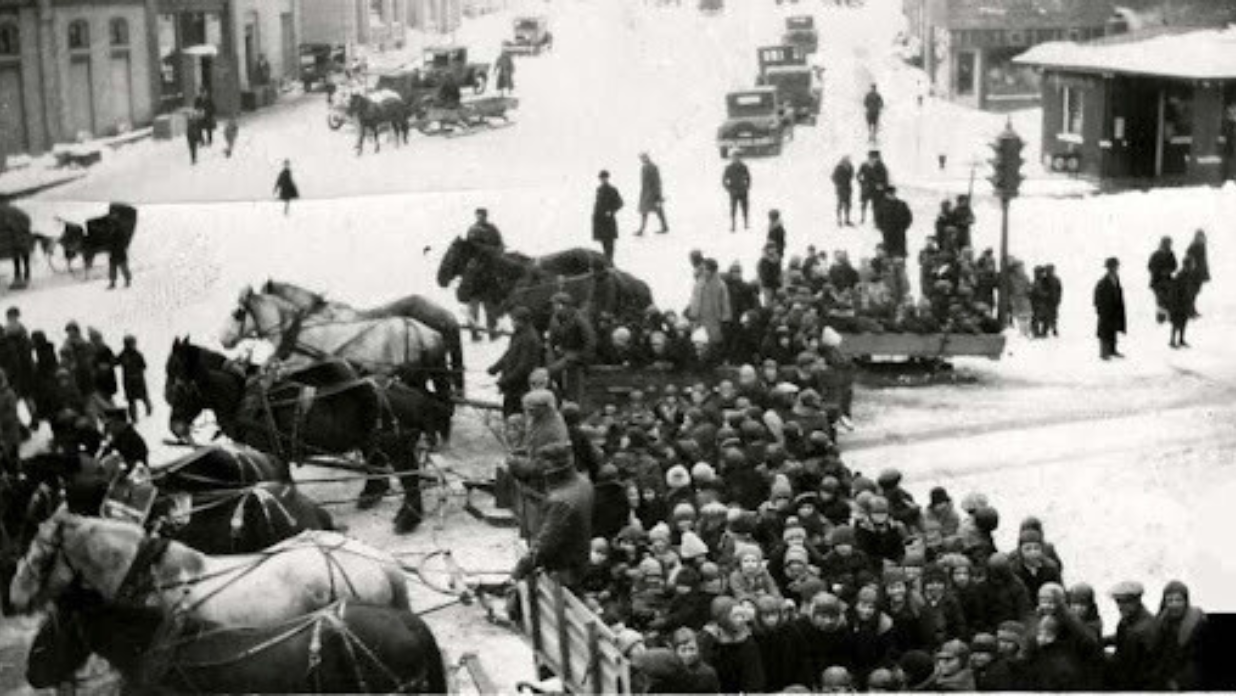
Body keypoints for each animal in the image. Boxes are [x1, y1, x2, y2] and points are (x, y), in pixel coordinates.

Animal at [165, 338, 454, 534]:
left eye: (177, 385)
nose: (175, 427)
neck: (244, 395)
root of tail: (408, 393)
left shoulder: (270, 448)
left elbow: (280, 477)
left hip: (394, 443)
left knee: (409, 476)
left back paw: (408, 518)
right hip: (376, 440)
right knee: (384, 465)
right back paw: (376, 497)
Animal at [220, 286, 452, 398]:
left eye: (236, 314)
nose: (223, 340)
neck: (295, 330)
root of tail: (429, 333)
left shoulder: (300, 363)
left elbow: (271, 374)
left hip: (408, 375)